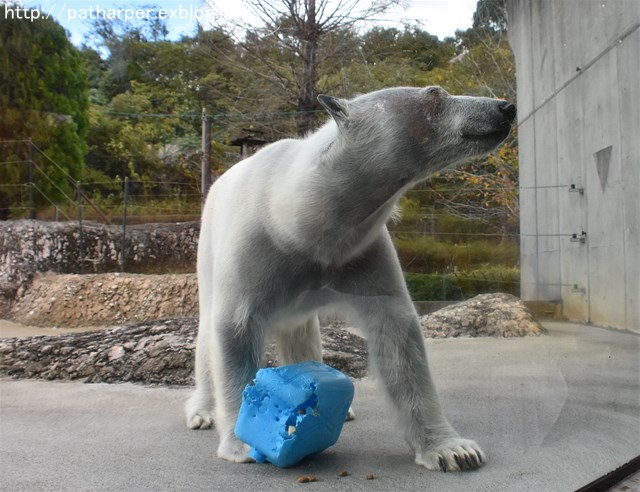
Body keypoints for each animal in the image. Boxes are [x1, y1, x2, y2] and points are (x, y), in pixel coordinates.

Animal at [185, 86, 516, 470]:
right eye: (435, 95)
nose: (505, 108)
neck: (301, 222)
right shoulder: (254, 249)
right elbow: (235, 328)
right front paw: (243, 443)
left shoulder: (361, 252)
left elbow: (398, 335)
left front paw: (453, 450)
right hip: (207, 245)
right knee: (207, 333)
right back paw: (202, 412)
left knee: (302, 332)